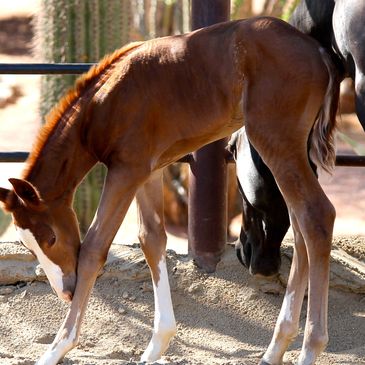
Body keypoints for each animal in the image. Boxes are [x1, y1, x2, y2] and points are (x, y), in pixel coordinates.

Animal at [0, 17, 336, 364]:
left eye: (50, 238)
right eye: (28, 246)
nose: (66, 291)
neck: (101, 105)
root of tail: (318, 51)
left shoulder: (125, 171)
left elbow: (94, 247)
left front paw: (56, 349)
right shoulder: (148, 171)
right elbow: (152, 240)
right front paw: (156, 345)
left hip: (275, 141)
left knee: (316, 215)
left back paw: (310, 348)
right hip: (288, 149)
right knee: (300, 225)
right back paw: (275, 348)